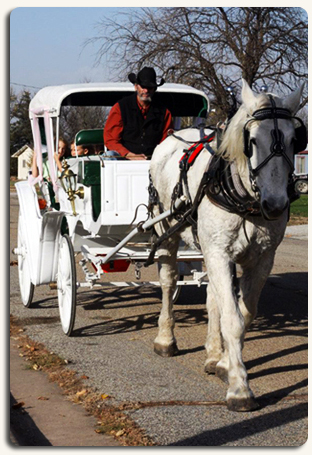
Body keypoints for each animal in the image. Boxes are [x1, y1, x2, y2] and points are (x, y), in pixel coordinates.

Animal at [150, 79, 306, 414]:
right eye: (252, 140)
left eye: (294, 139)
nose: (275, 205)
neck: (246, 199)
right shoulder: (219, 253)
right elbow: (233, 319)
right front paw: (239, 388)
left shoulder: (261, 258)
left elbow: (243, 314)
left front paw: (224, 363)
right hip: (168, 232)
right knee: (168, 283)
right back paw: (165, 338)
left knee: (213, 297)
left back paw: (212, 353)